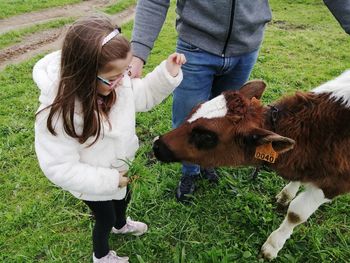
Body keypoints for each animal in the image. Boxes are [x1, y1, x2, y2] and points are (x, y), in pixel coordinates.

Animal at [152, 71, 350, 260]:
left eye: (207, 136)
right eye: (193, 110)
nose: (157, 145)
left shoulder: (334, 185)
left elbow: (296, 213)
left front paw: (272, 246)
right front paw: (286, 195)